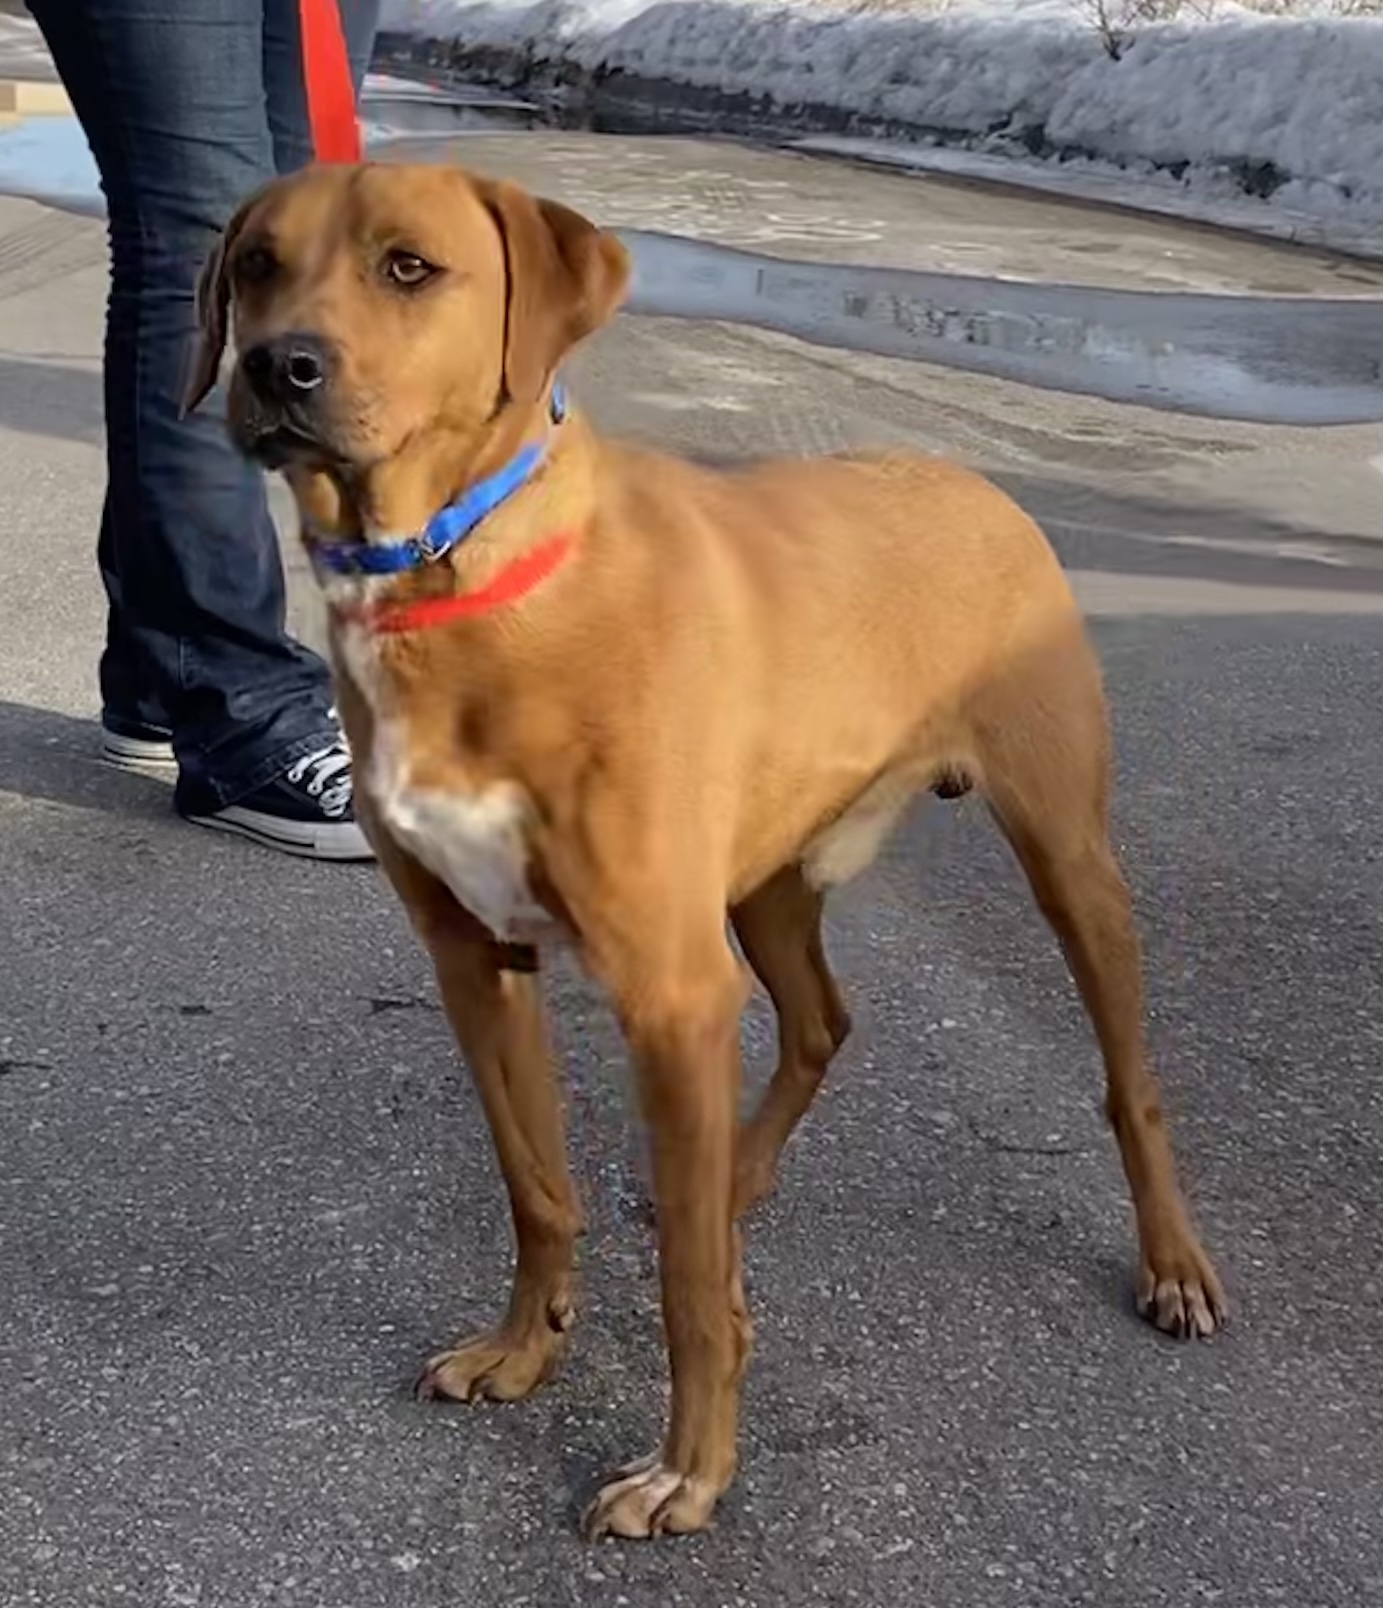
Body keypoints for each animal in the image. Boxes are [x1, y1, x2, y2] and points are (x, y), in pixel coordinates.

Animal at [180, 163, 1222, 1543]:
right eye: (256, 264)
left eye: (409, 267)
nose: (278, 365)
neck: (460, 579)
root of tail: (974, 482)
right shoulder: (476, 960)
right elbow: (536, 1187)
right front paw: (526, 1349)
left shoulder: (669, 994)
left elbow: (683, 1280)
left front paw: (691, 1471)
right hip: (767, 885)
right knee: (823, 1021)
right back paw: (743, 1174)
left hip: (1066, 860)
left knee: (1127, 1081)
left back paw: (1172, 1263)